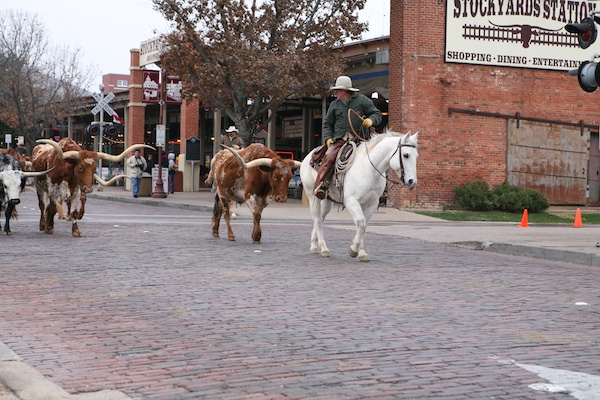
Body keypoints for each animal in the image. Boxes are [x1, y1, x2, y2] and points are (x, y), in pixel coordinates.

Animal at [298, 131, 418, 262]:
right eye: (406, 155)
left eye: (416, 156)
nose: (412, 181)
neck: (369, 170)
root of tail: (309, 156)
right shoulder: (352, 201)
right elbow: (361, 222)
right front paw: (354, 250)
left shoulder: (372, 204)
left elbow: (364, 226)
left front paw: (362, 252)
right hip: (313, 196)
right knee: (317, 220)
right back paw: (324, 248)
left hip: (327, 201)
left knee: (320, 218)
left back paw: (314, 245)